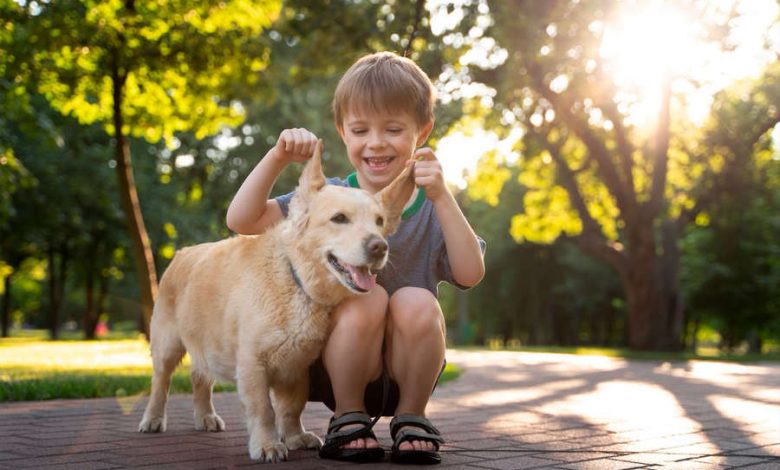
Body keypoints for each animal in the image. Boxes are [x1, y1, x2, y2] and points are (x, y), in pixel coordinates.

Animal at [137, 140, 418, 462]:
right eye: (339, 218)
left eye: (379, 221)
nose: (379, 247)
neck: (296, 280)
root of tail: (182, 252)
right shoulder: (252, 364)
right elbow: (263, 410)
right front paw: (267, 444)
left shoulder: (296, 367)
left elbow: (291, 408)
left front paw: (295, 437)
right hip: (167, 344)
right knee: (160, 383)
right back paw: (153, 419)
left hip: (207, 347)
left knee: (200, 378)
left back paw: (205, 416)